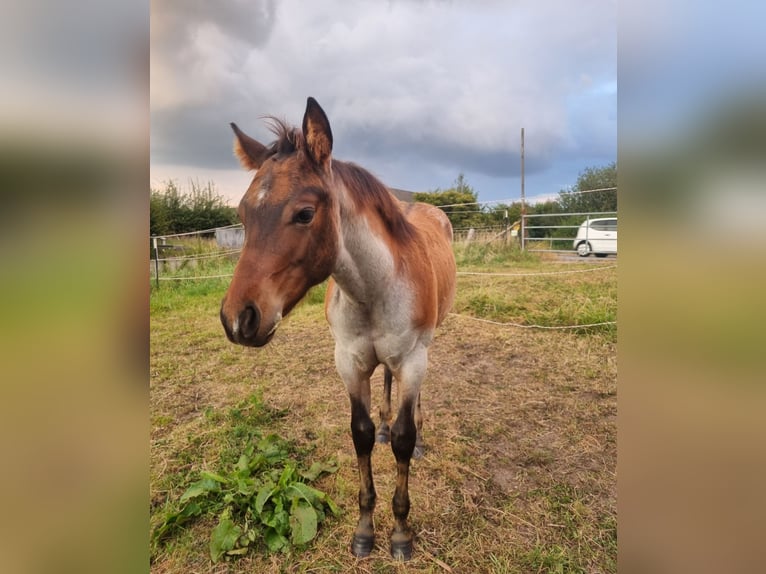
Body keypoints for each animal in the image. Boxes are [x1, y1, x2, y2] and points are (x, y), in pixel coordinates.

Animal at [219, 97, 456, 560]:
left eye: (305, 213)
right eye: (243, 214)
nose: (238, 318)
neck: (374, 287)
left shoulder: (413, 360)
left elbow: (403, 438)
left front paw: (401, 534)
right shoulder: (349, 361)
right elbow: (360, 435)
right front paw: (365, 531)